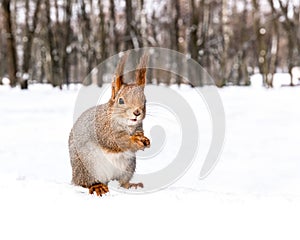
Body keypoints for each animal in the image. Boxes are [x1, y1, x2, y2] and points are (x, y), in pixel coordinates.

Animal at [69, 54, 151, 197]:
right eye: (121, 100)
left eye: (145, 101)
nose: (137, 112)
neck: (126, 125)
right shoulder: (101, 128)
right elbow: (113, 141)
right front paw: (133, 140)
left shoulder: (139, 127)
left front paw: (145, 140)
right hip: (86, 166)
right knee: (86, 183)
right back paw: (97, 186)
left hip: (128, 168)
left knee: (122, 182)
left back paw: (131, 185)